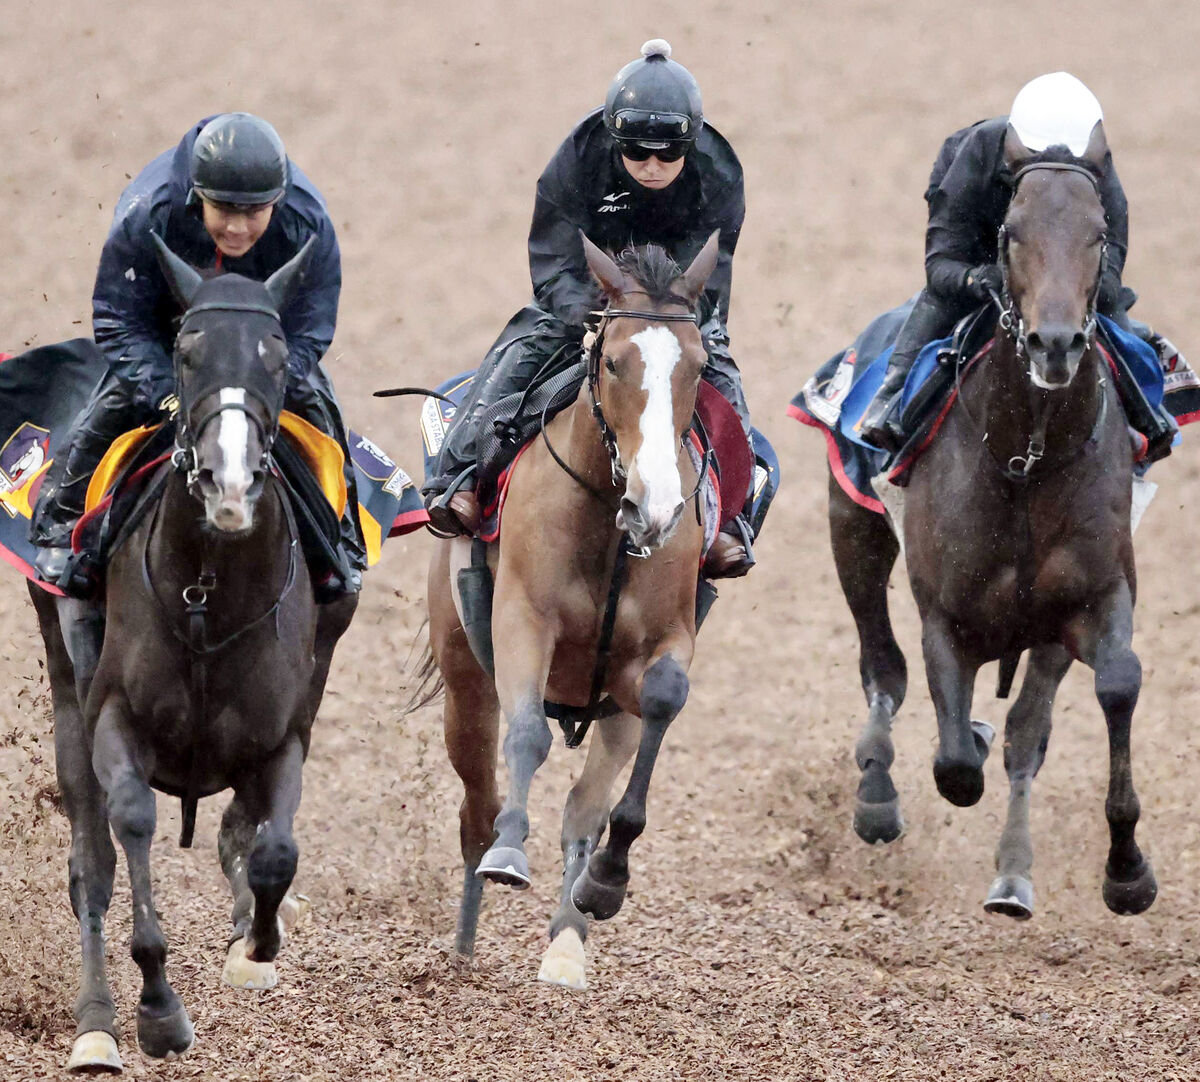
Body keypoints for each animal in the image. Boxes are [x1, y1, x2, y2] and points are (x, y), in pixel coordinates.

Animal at [28, 232, 355, 1070]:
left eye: (277, 353)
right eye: (185, 350)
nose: (230, 483)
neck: (209, 589)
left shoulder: (282, 736)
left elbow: (275, 851)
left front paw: (258, 942)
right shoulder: (114, 720)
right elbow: (131, 826)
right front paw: (158, 1012)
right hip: (66, 682)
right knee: (91, 866)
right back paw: (97, 1025)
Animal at [427, 235, 715, 993]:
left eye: (698, 367)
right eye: (613, 360)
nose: (656, 506)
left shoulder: (662, 644)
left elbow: (662, 700)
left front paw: (607, 882)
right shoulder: (523, 620)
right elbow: (527, 734)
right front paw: (508, 856)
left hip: (610, 710)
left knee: (582, 809)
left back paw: (565, 942)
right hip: (464, 680)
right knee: (477, 804)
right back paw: (465, 936)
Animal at [830, 124, 1156, 921]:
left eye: (1100, 234)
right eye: (1010, 233)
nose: (1055, 344)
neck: (1026, 456)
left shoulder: (1091, 600)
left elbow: (1112, 687)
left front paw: (1128, 870)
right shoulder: (945, 616)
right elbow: (953, 762)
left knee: (1024, 734)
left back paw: (1013, 876)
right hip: (853, 530)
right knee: (883, 668)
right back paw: (877, 794)